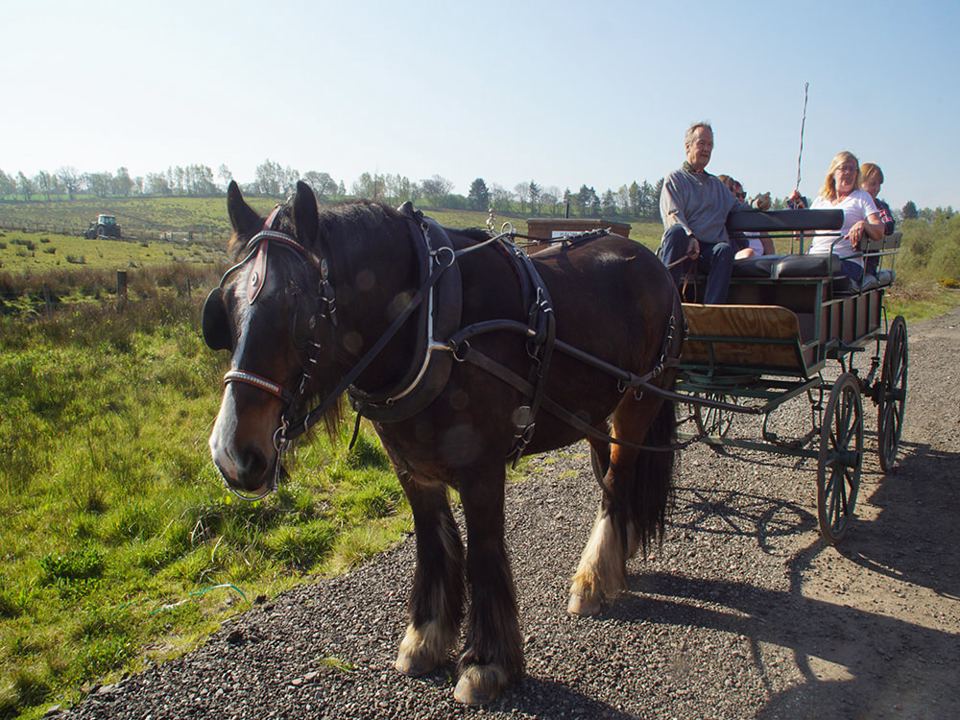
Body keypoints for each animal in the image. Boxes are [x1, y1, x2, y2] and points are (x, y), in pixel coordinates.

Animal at [204, 180, 684, 705]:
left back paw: (594, 581)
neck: (431, 323)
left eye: (299, 306)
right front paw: (426, 638)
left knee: (617, 481)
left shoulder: (483, 471)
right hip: (596, 411)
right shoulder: (410, 469)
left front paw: (486, 662)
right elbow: (433, 545)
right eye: (225, 304)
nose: (232, 453)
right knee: (612, 476)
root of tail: (655, 263)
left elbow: (483, 553)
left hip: (641, 399)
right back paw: (617, 555)